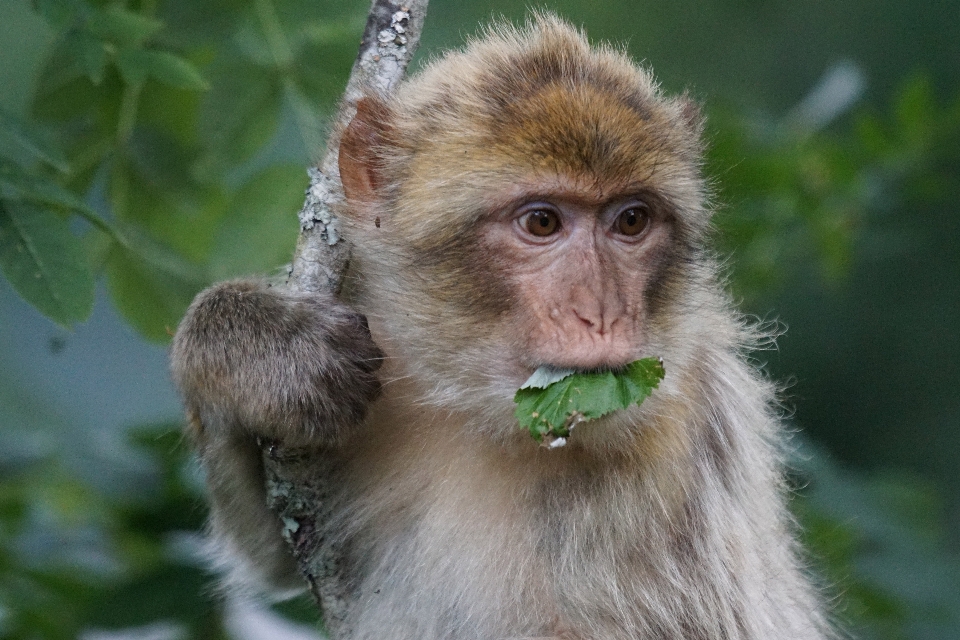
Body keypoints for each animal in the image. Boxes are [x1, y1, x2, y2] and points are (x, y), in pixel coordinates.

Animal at [171, 15, 832, 640]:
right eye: (542, 222)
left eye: (631, 221)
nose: (603, 313)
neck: (479, 416)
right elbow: (274, 552)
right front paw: (261, 352)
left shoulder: (676, 441)